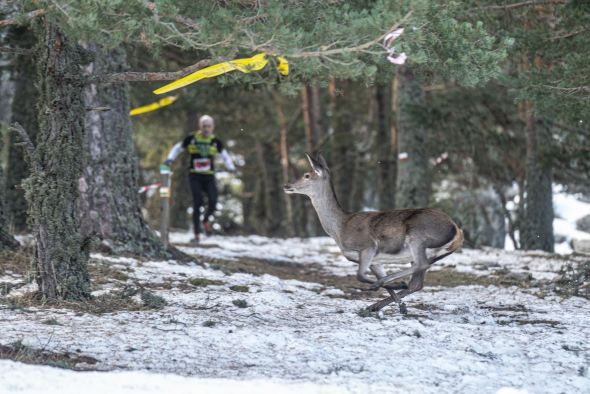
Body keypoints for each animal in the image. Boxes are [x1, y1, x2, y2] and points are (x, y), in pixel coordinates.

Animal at [284, 154, 464, 314]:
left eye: (307, 175)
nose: (286, 185)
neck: (339, 229)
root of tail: (457, 229)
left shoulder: (368, 246)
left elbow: (360, 275)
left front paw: (395, 287)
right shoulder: (375, 260)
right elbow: (372, 276)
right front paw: (401, 305)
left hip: (418, 236)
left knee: (422, 264)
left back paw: (386, 290)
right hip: (432, 252)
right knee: (417, 282)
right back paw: (376, 304)